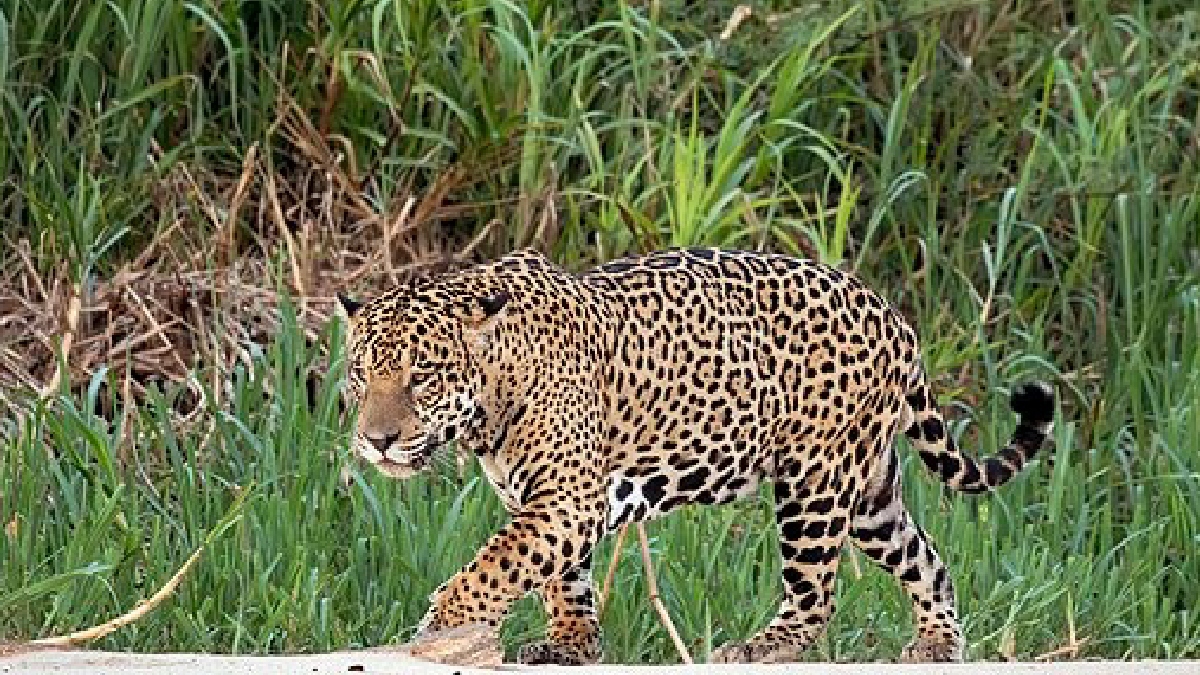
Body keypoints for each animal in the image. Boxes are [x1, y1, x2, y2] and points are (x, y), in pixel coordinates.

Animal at [338, 247, 1055, 665]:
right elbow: (558, 576)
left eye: (422, 377)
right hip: (871, 491)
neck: (491, 398)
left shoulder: (567, 501)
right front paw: (572, 643)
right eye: (360, 374)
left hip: (815, 483)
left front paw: (440, 627)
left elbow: (495, 566)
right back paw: (936, 645)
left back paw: (759, 648)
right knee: (927, 560)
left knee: (815, 596)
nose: (376, 439)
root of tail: (894, 316)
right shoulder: (548, 501)